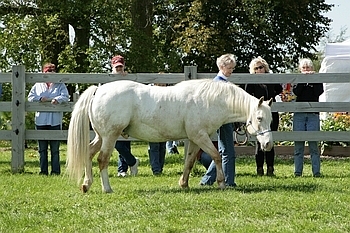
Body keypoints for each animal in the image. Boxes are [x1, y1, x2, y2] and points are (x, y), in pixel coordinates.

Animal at [66, 79, 274, 192]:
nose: (268, 145)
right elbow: (216, 156)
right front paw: (221, 183)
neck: (210, 100)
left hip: (100, 137)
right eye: (259, 118)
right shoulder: (200, 137)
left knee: (88, 154)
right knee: (102, 160)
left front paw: (184, 184)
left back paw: (86, 184)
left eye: (271, 119)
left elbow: (189, 161)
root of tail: (99, 89)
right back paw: (107, 188)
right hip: (110, 137)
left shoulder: (194, 139)